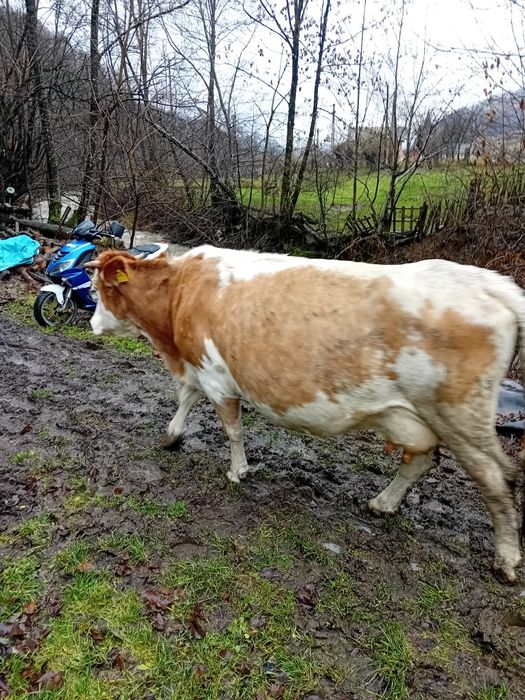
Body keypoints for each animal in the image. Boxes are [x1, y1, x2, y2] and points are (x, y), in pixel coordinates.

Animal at [86, 246, 525, 582]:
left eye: (97, 289)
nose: (90, 322)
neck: (179, 296)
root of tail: (490, 283)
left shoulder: (213, 374)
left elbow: (231, 428)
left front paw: (237, 471)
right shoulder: (196, 367)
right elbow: (185, 398)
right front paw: (171, 435)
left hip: (461, 415)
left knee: (496, 478)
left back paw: (506, 559)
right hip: (420, 415)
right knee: (421, 459)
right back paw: (383, 503)